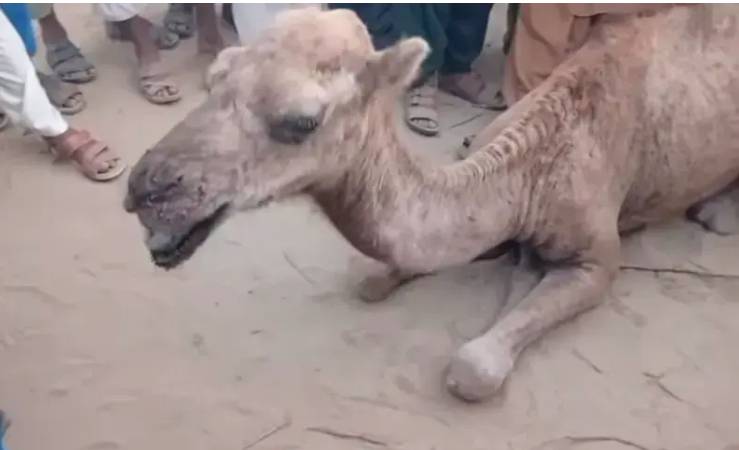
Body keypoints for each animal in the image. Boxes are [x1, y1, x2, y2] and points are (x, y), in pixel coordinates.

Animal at [123, 6, 739, 402]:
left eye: (301, 121)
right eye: (215, 76)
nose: (144, 190)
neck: (527, 175)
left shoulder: (597, 255)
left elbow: (473, 367)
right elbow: (377, 276)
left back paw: (716, 212)